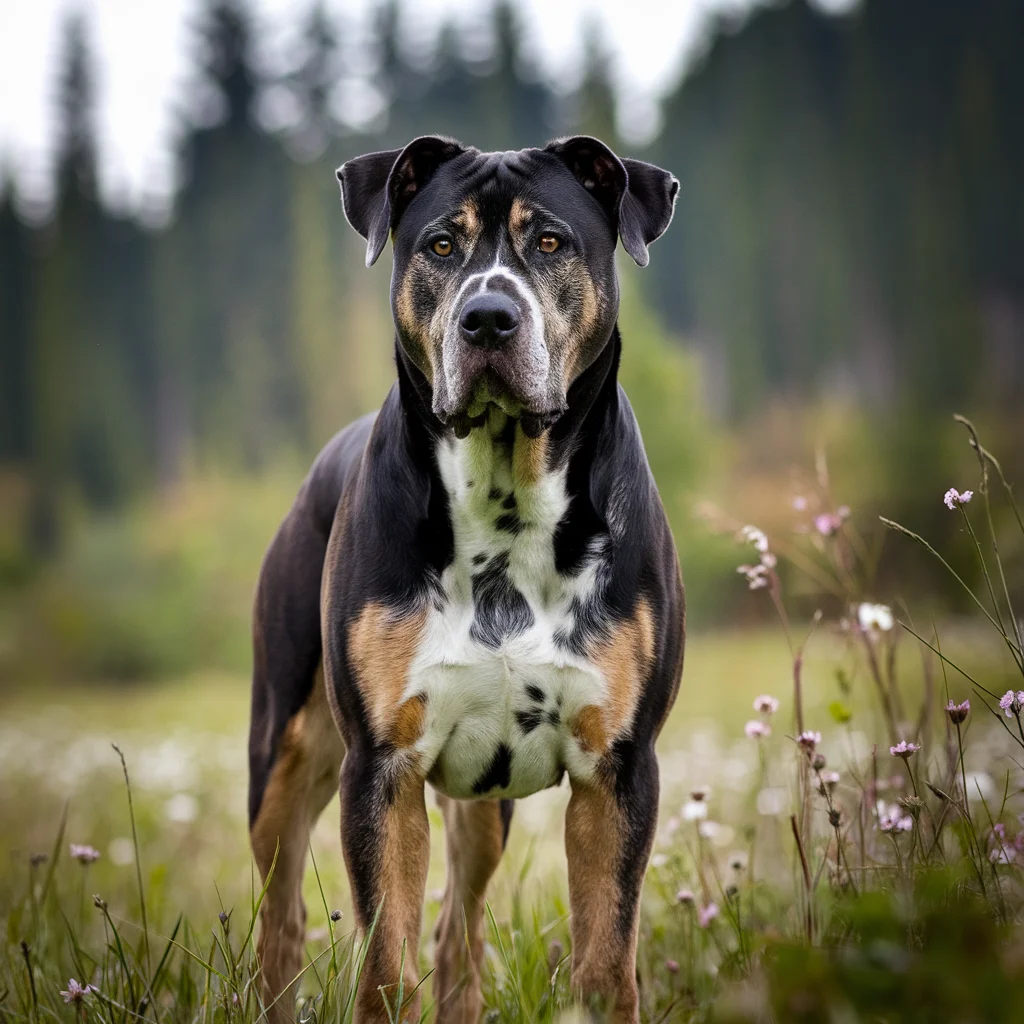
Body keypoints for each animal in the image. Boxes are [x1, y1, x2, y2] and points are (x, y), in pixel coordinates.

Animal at [244, 136, 684, 1024]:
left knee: (461, 925)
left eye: (549, 241)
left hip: (487, 807)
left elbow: (606, 957)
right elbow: (385, 961)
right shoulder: (380, 766)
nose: (487, 317)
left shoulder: (621, 769)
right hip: (282, 747)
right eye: (442, 245)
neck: (505, 500)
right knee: (281, 918)